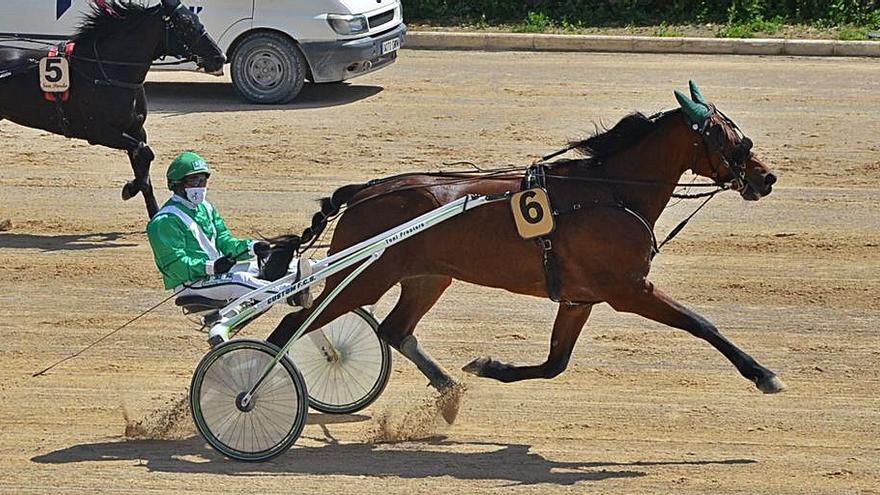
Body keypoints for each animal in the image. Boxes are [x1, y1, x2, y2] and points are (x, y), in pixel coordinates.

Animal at [268, 81, 784, 418]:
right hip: (362, 278)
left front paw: (487, 366)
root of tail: (364, 191)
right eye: (727, 137)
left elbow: (555, 364)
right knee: (294, 326)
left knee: (395, 330)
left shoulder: (579, 299)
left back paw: (449, 390)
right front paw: (762, 373)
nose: (766, 178)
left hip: (427, 277)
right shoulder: (629, 290)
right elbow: (702, 324)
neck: (611, 192)